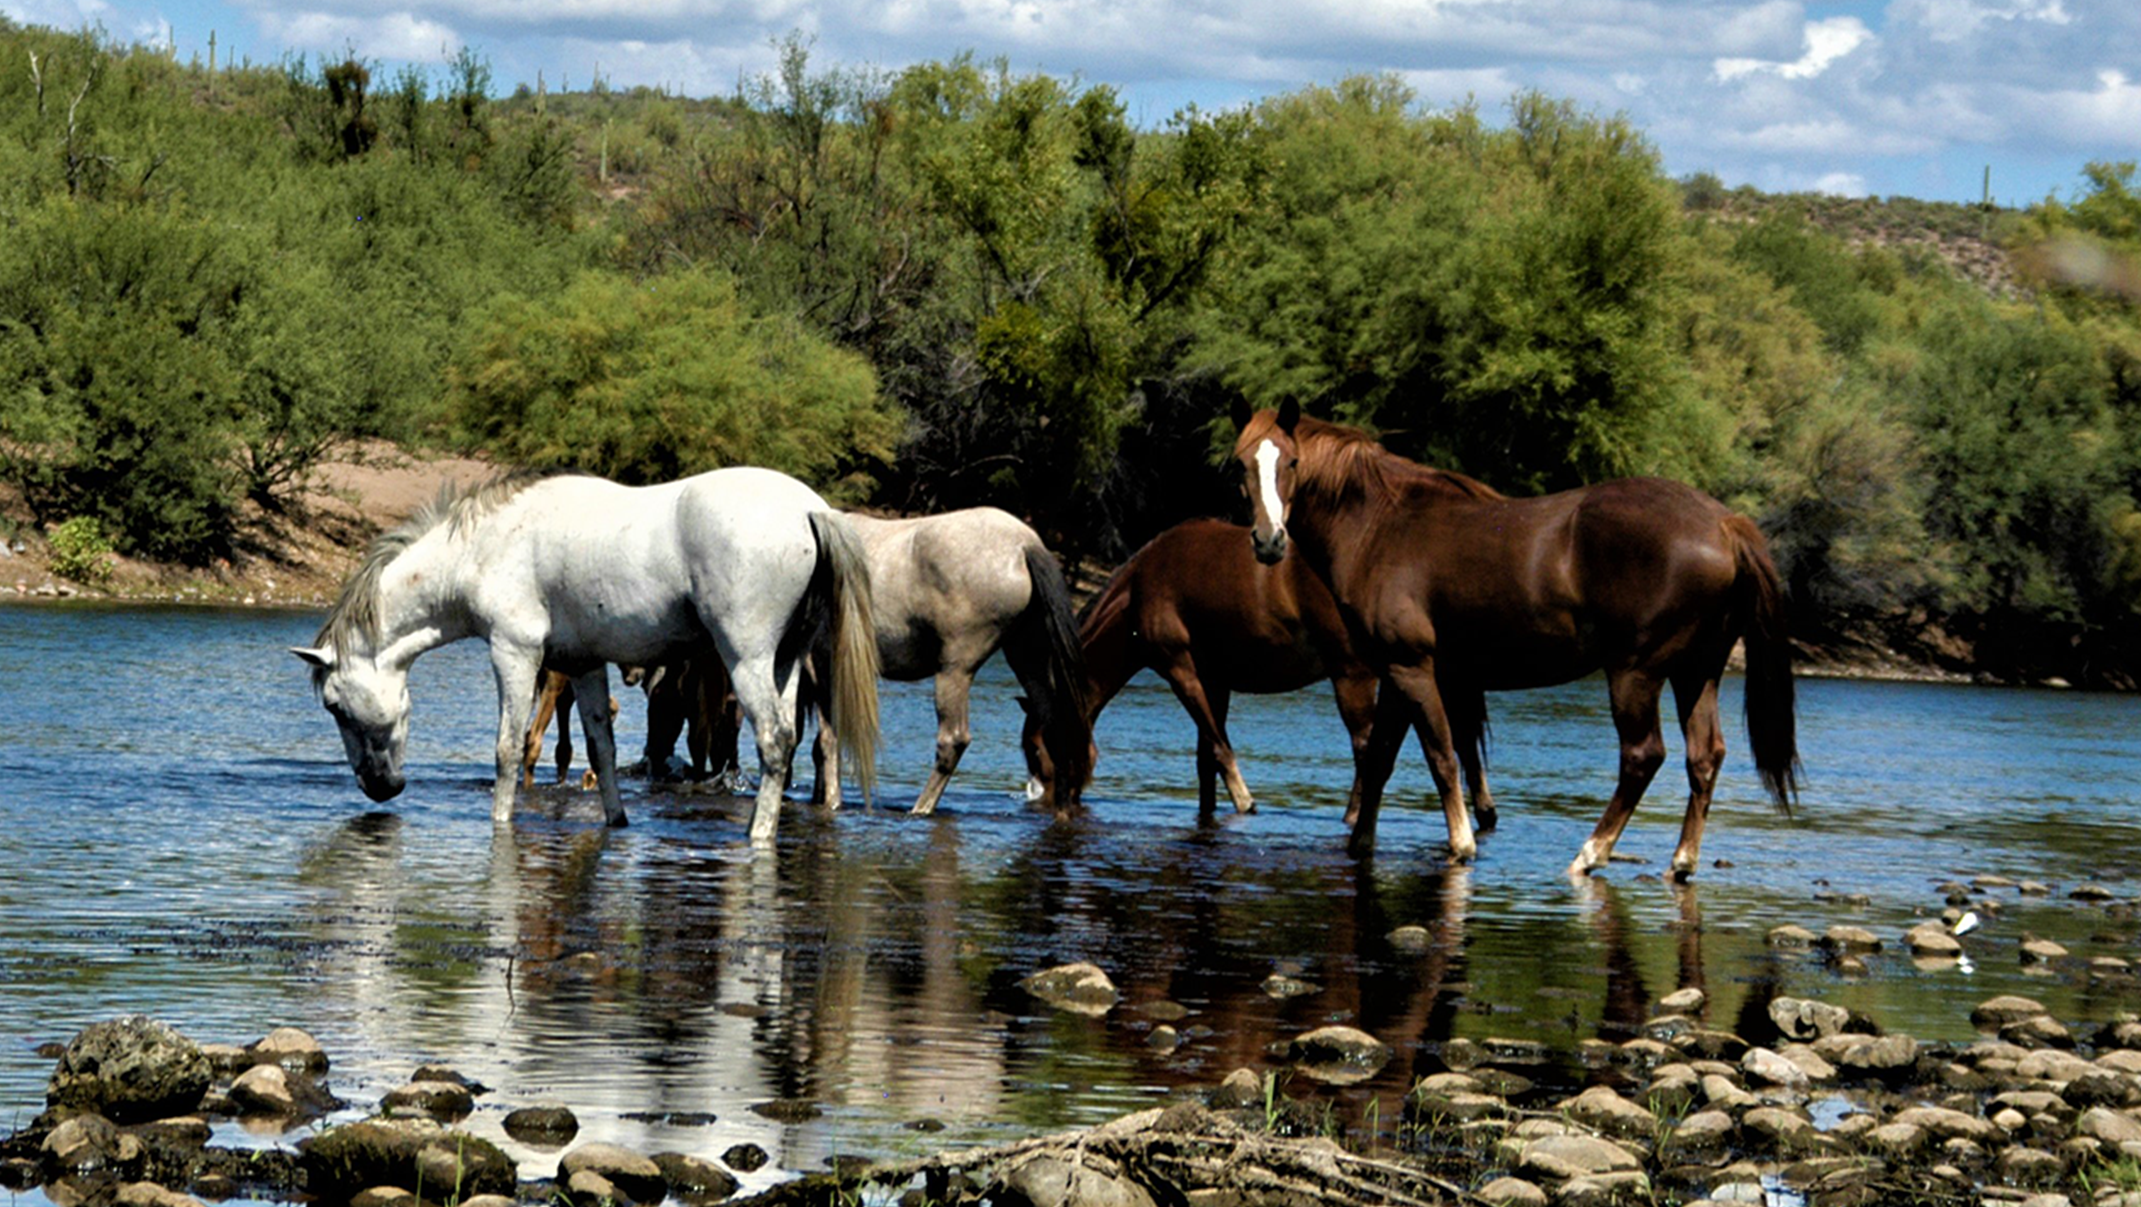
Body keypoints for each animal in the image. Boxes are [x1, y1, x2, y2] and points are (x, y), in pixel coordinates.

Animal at [293, 468, 880, 844]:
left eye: (334, 706)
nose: (379, 788)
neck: (482, 548)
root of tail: (810, 508)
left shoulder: (515, 652)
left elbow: (508, 750)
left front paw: (500, 823)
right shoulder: (584, 665)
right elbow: (601, 750)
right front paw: (617, 822)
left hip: (746, 658)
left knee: (774, 742)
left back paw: (757, 834)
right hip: (784, 662)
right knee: (785, 740)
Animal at [805, 508, 1089, 814]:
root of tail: (1026, 546)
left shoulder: (819, 663)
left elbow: (827, 740)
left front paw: (832, 801)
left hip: (955, 669)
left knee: (953, 739)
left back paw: (921, 808)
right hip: (1027, 659)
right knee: (1055, 729)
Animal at [1021, 517, 1496, 828]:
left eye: (1038, 747)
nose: (1046, 804)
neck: (1141, 588)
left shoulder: (1180, 669)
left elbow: (1218, 745)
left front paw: (1245, 802)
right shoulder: (1215, 680)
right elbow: (1205, 757)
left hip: (1355, 677)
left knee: (1368, 748)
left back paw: (1353, 816)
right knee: (1456, 741)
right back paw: (1484, 812)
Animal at [1233, 402, 1798, 879]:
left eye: (1292, 462)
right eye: (1241, 464)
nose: (1269, 541)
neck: (1380, 527)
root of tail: (1724, 524)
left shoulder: (1414, 667)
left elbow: (1441, 756)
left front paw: (1462, 845)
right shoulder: (1395, 672)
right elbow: (1380, 760)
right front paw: (1360, 846)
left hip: (1636, 672)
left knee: (1643, 756)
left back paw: (1590, 854)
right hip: (1696, 672)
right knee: (1704, 756)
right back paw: (1681, 861)